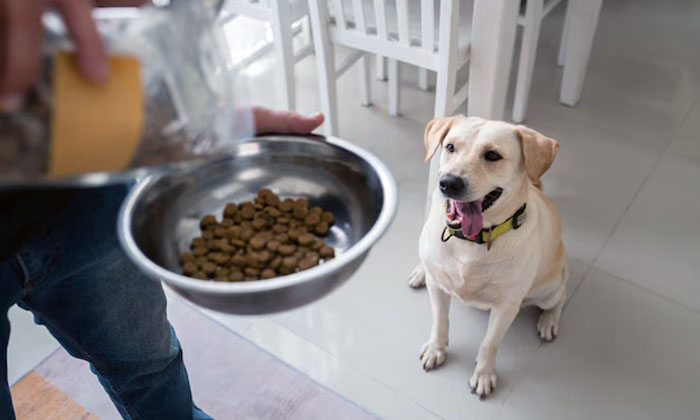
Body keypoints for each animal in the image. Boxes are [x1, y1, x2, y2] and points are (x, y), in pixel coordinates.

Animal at [408, 116, 568, 398]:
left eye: (493, 155)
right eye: (450, 147)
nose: (448, 183)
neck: (471, 241)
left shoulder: (506, 307)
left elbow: (489, 344)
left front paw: (483, 375)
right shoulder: (437, 287)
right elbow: (440, 322)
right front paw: (436, 349)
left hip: (549, 288)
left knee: (561, 297)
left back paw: (549, 321)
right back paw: (420, 271)